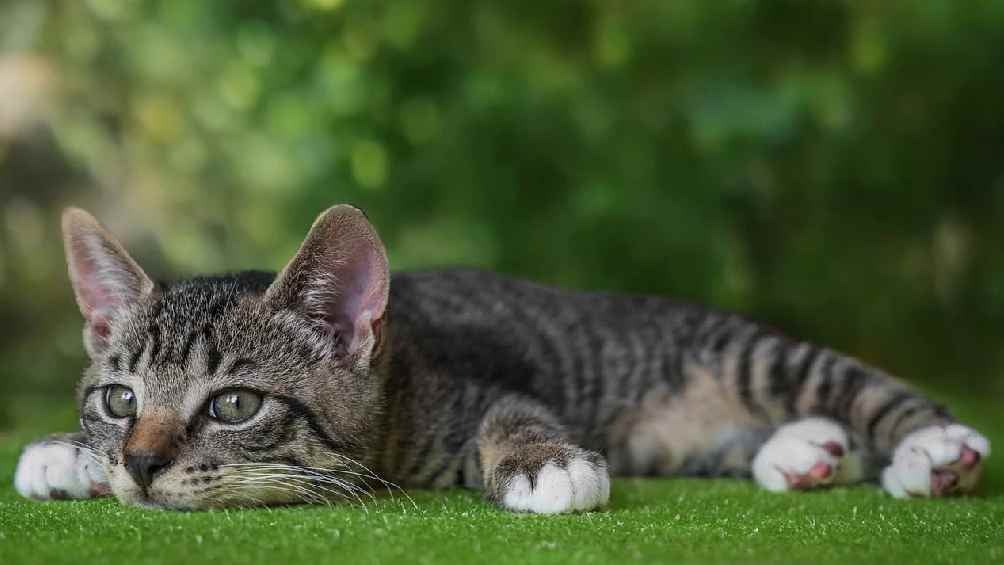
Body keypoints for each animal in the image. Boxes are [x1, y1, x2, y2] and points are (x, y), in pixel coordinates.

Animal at [13, 204, 987, 513]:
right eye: (118, 398)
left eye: (233, 405)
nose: (140, 463)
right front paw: (66, 452)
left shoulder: (480, 383)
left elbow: (516, 410)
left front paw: (542, 460)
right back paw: (807, 450)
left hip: (756, 357)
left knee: (858, 384)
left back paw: (930, 448)